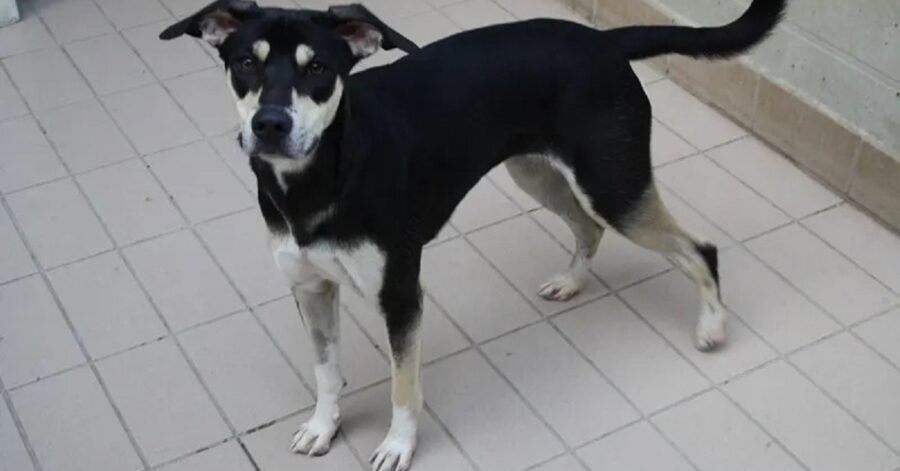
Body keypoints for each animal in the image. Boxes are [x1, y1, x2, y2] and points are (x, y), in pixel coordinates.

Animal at [162, 0, 788, 468]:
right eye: (246, 63)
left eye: (318, 70)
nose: (269, 124)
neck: (319, 179)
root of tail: (604, 42)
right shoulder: (310, 287)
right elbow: (326, 372)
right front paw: (324, 426)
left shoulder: (400, 296)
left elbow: (403, 385)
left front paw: (398, 445)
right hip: (537, 172)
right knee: (587, 227)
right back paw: (571, 281)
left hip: (612, 183)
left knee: (699, 248)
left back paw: (711, 325)